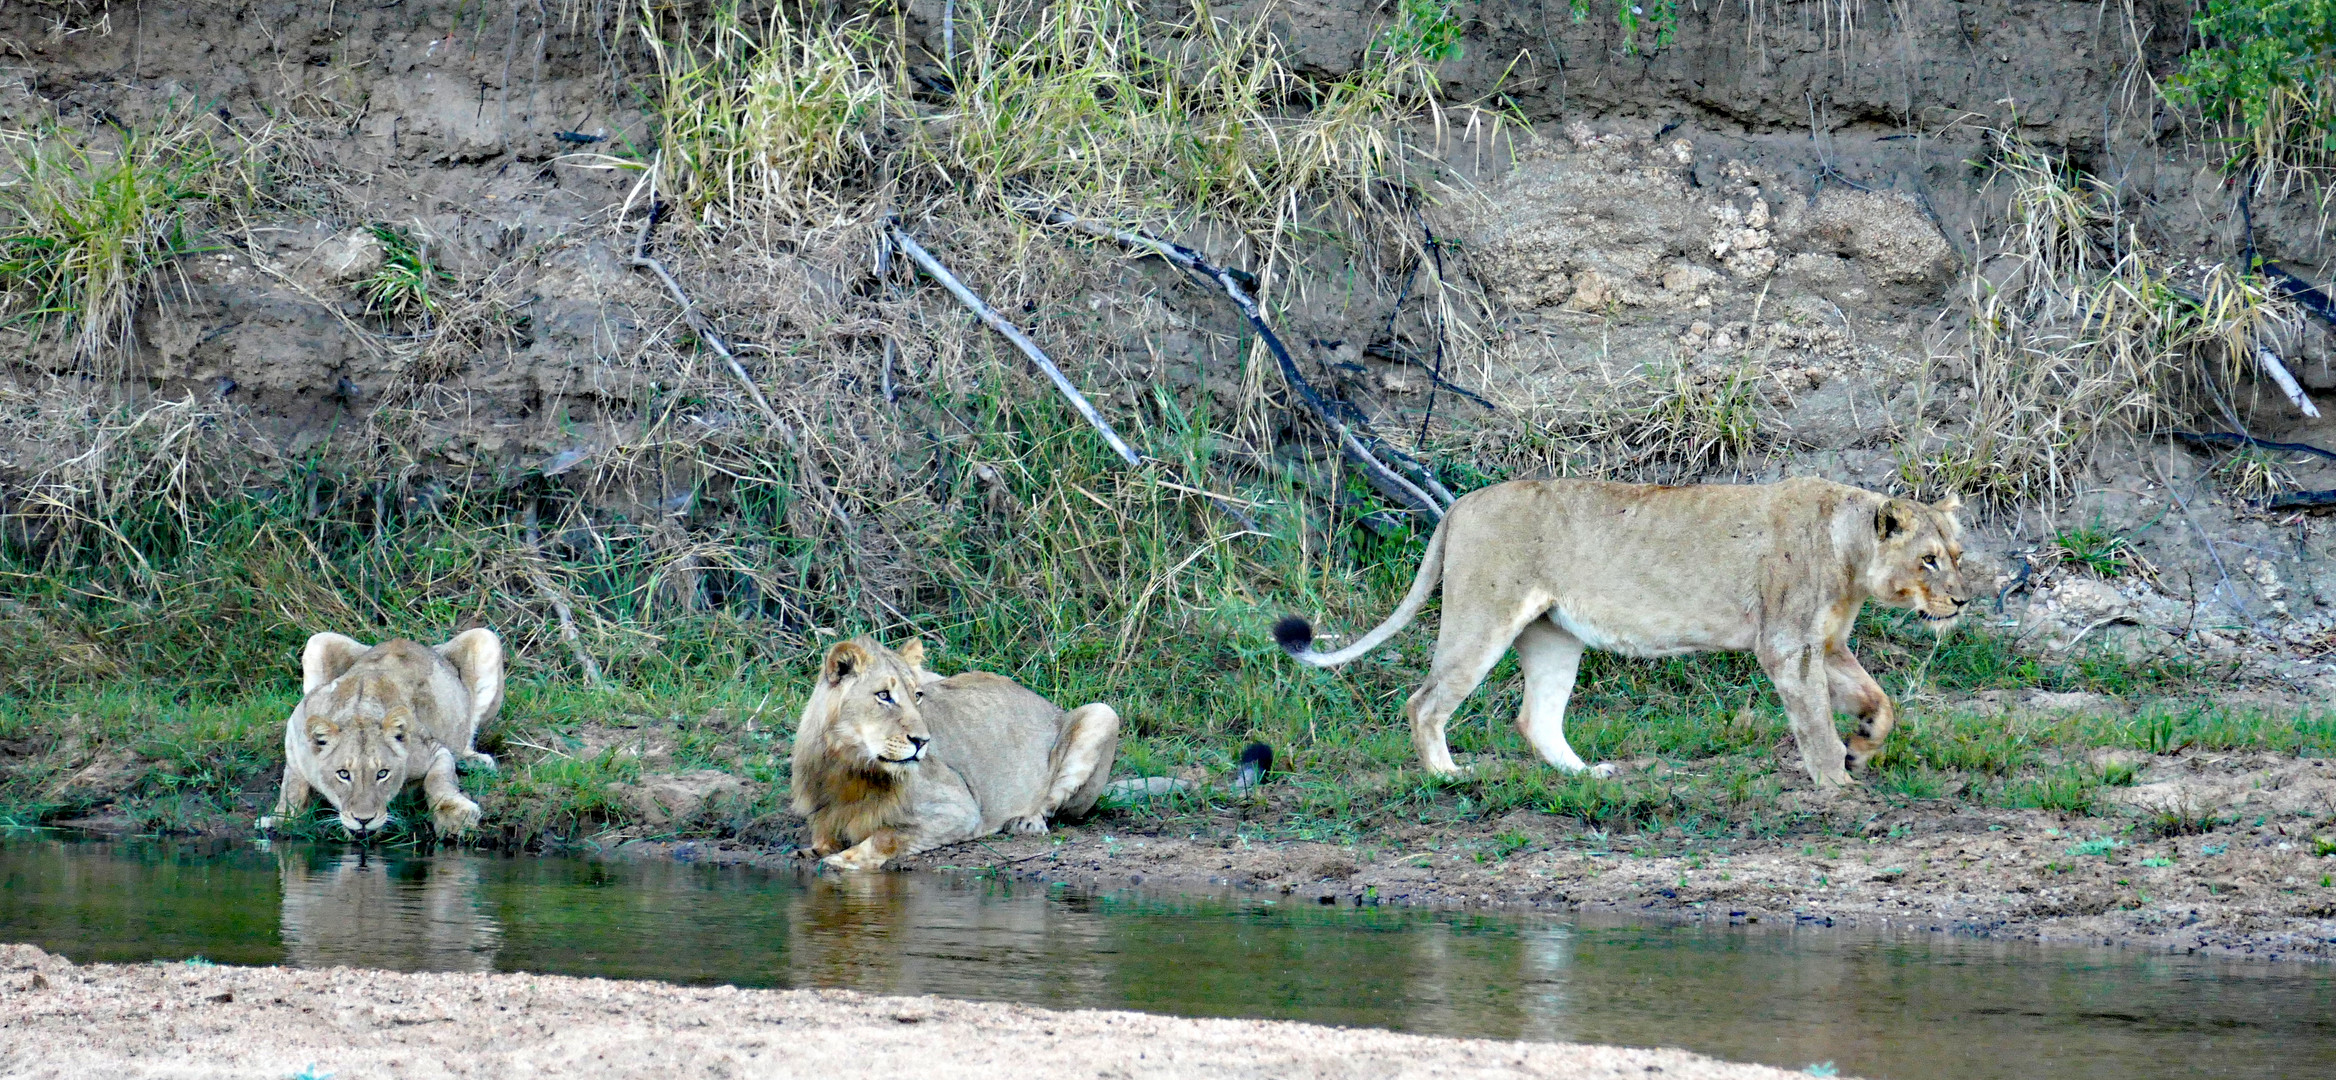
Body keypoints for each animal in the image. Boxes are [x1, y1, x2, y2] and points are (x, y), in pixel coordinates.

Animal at [260, 626, 502, 841]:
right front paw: (280, 819)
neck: (359, 713)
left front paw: (455, 817)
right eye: (343, 774)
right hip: (318, 641)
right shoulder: (296, 735)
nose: (363, 820)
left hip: (487, 637)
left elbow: (438, 780)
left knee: (466, 737)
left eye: (382, 773)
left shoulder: (433, 749)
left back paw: (475, 761)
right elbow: (292, 786)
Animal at [794, 635, 1121, 874]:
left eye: (917, 696)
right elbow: (824, 837)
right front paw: (813, 851)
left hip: (1104, 712)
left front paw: (845, 859)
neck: (849, 768)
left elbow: (888, 835)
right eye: (884, 695)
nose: (923, 741)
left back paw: (1025, 823)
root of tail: (1051, 706)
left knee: (1051, 804)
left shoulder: (960, 810)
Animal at [1280, 476, 1971, 790]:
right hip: (1483, 617)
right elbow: (1816, 721)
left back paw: (1586, 774)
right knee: (1424, 700)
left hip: (1553, 636)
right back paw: (1447, 774)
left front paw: (1864, 746)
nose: (1963, 599)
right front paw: (1837, 779)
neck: (1851, 555)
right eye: (1928, 560)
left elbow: (1880, 700)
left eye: (1957, 555)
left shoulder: (1823, 644)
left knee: (1536, 718)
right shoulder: (1785, 646)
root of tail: (1460, 503)